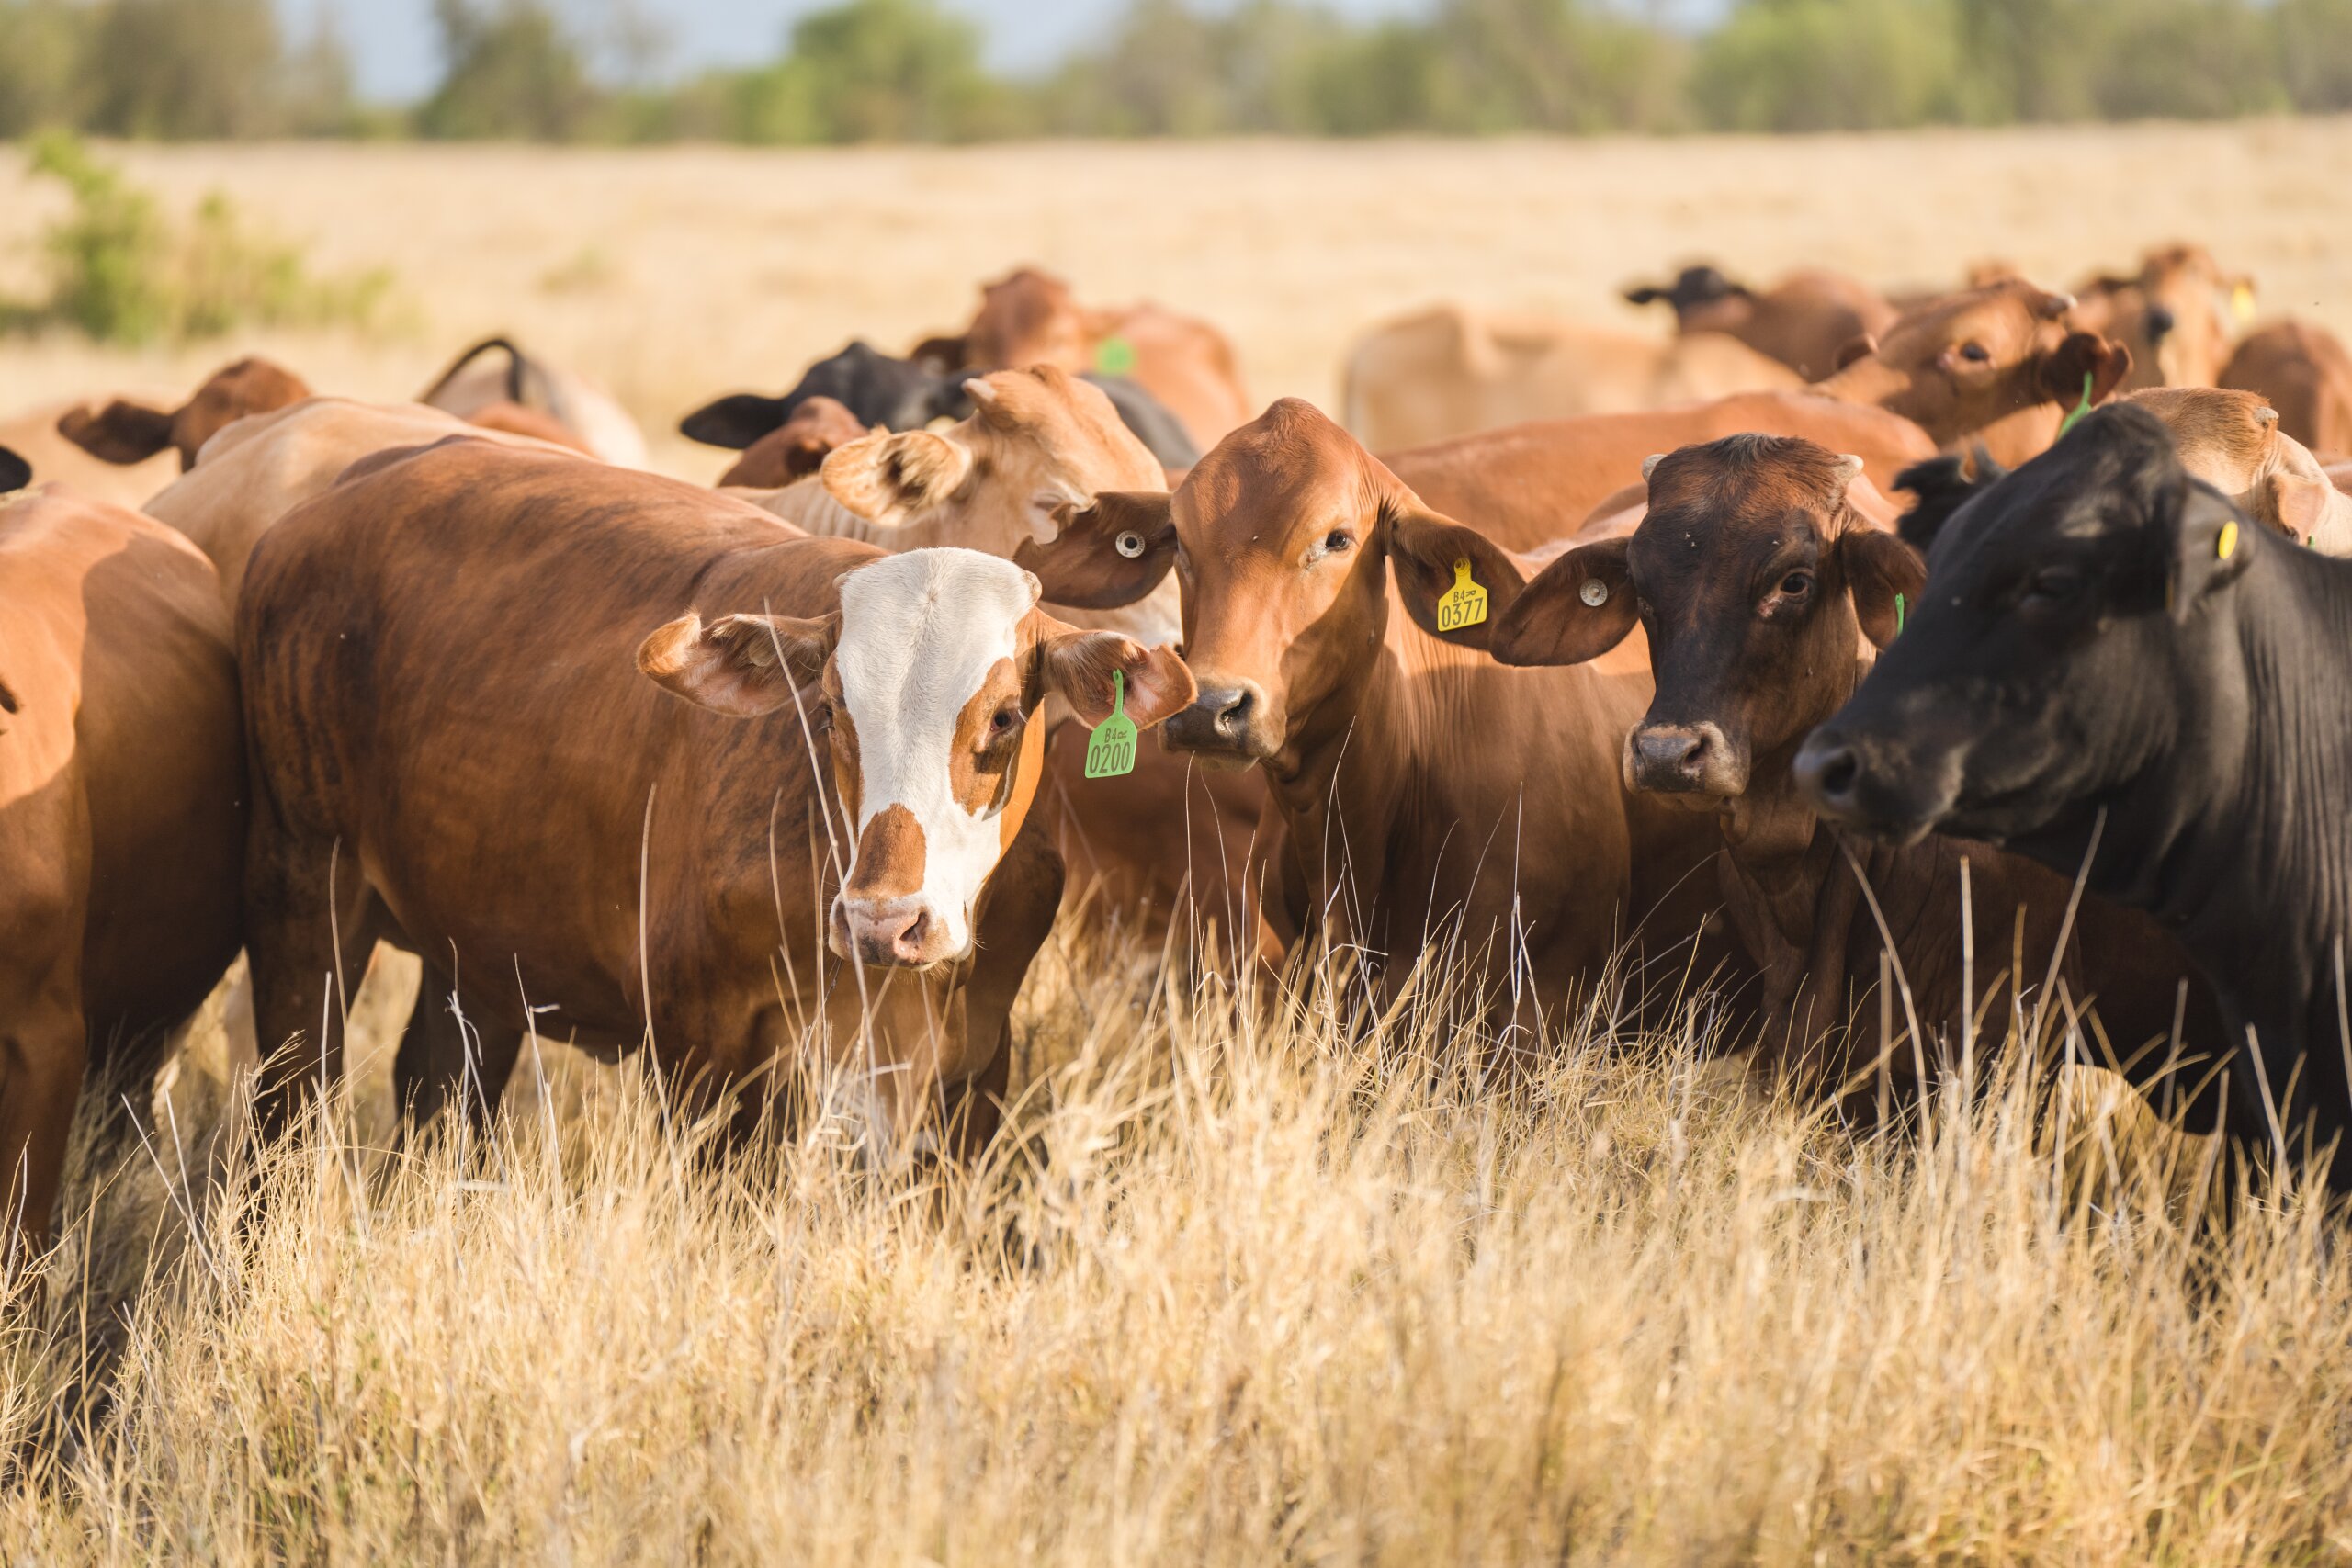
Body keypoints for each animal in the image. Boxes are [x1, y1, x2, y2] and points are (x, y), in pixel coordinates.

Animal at [237, 438, 1193, 1148]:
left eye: (1004, 715)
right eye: (830, 707)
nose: (884, 922)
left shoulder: (970, 1073)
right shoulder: (705, 1058)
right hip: (305, 895)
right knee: (287, 1103)